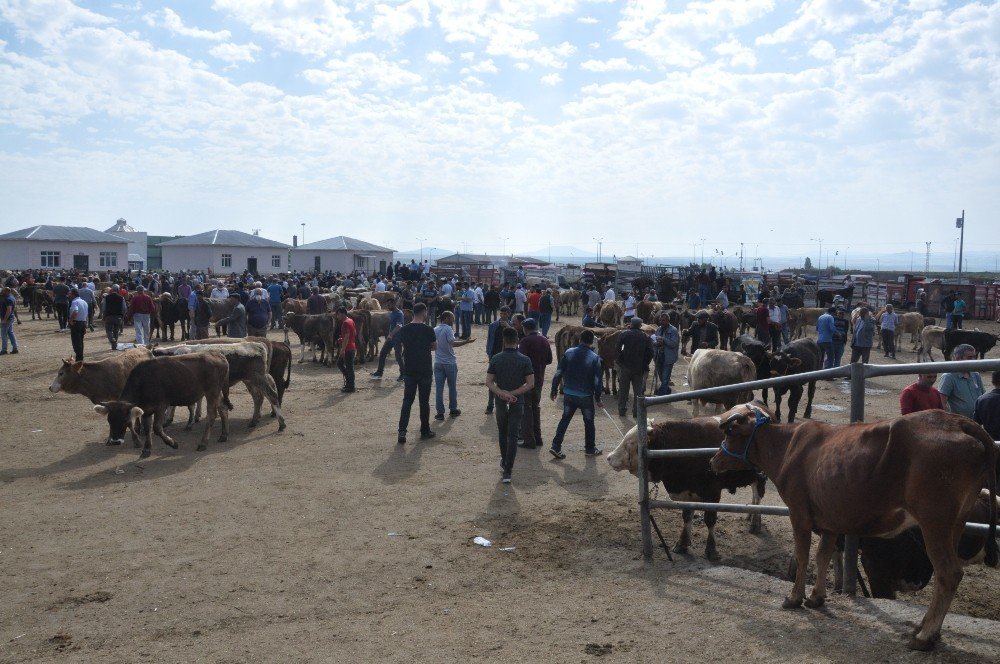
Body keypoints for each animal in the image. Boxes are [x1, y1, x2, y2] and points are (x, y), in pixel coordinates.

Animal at [95, 352, 230, 456]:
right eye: (109, 420)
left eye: (125, 420)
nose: (115, 442)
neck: (143, 383)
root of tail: (219, 355)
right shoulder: (146, 410)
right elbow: (147, 429)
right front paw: (146, 449)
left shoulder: (161, 406)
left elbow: (157, 428)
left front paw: (173, 443)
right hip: (216, 393)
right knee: (223, 409)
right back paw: (224, 435)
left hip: (212, 392)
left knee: (212, 415)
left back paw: (203, 443)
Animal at [608, 420, 764, 560]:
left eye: (631, 442)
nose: (609, 457)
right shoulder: (687, 493)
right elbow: (687, 515)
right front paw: (682, 544)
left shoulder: (713, 492)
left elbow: (710, 519)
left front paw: (711, 549)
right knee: (755, 494)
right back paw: (750, 516)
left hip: (760, 476)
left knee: (758, 496)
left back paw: (755, 522)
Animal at [716, 402, 996, 652]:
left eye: (730, 432)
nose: (713, 460)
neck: (785, 448)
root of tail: (957, 421)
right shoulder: (829, 519)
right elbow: (822, 556)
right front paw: (817, 597)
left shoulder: (799, 513)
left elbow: (804, 556)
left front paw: (795, 597)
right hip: (956, 522)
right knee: (944, 574)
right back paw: (926, 629)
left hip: (934, 520)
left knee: (949, 573)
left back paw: (924, 636)